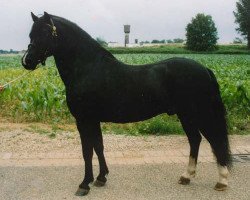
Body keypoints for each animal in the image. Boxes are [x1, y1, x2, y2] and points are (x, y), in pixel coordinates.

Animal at [22, 12, 231, 195]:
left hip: (199, 114)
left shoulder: (84, 120)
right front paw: (101, 178)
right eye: (31, 34)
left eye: (45, 33)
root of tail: (204, 69)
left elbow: (87, 151)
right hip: (186, 115)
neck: (88, 68)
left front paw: (84, 184)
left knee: (215, 140)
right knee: (195, 140)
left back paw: (222, 180)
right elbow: (98, 146)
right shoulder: (93, 120)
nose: (27, 61)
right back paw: (187, 176)